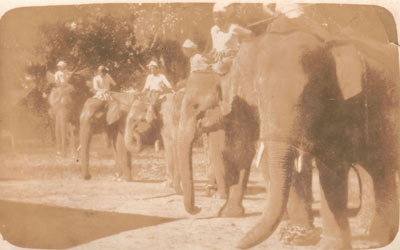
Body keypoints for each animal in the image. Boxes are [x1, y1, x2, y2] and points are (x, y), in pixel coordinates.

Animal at [177, 12, 398, 250]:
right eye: (258, 92)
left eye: (195, 107)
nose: (197, 209)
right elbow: (248, 154)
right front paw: (298, 236)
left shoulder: (344, 101)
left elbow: (330, 163)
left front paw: (322, 243)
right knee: (376, 168)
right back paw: (373, 235)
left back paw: (374, 235)